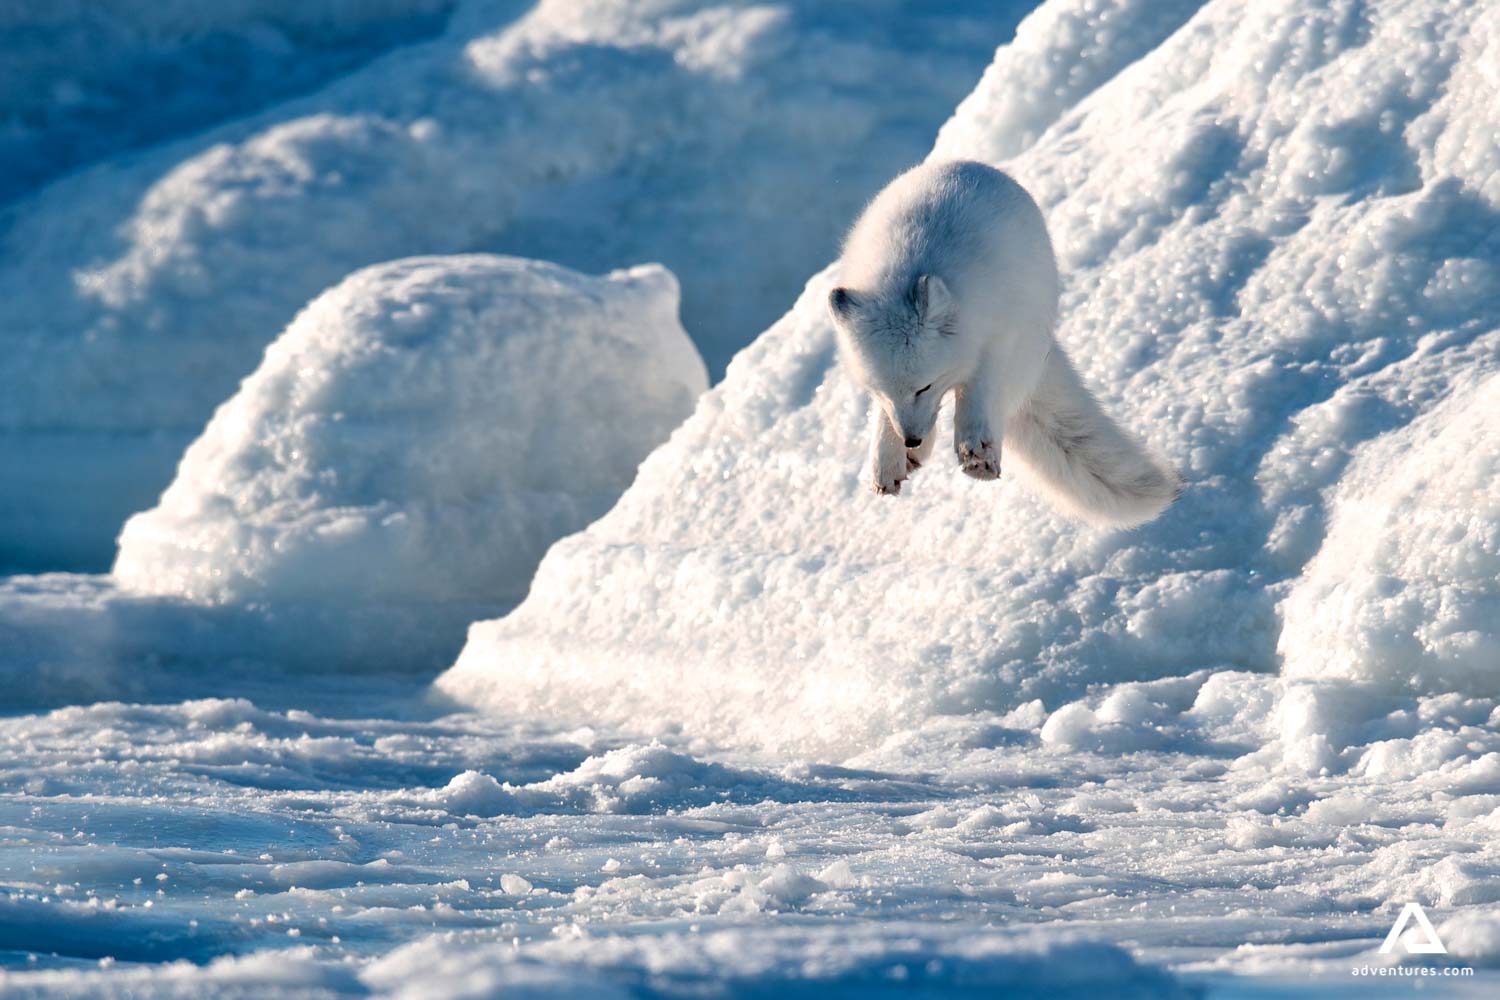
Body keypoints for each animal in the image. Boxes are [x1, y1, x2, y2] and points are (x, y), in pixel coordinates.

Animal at [827, 159, 1180, 529]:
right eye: (880, 391)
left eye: (924, 386)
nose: (912, 439)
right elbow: (887, 416)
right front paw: (889, 458)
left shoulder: (1000, 339)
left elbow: (979, 393)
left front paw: (974, 449)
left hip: (1029, 340)